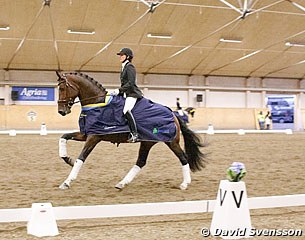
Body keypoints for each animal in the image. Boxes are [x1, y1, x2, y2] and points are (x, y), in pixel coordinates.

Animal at [55, 70, 207, 190]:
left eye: (62, 88)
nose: (61, 111)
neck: (96, 103)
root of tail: (173, 114)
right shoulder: (86, 134)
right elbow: (63, 137)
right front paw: (67, 159)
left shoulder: (94, 137)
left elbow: (81, 158)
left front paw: (67, 182)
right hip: (147, 141)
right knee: (141, 162)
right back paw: (122, 183)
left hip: (171, 142)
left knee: (183, 157)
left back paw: (185, 184)